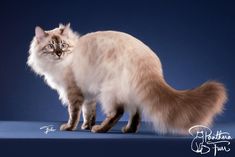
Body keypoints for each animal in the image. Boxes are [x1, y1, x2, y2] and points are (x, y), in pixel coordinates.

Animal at [27, 23, 228, 134]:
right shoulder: (88, 95)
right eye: (51, 47)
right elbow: (88, 112)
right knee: (136, 113)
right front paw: (86, 125)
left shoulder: (74, 92)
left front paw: (71, 127)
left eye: (63, 46)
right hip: (129, 91)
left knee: (118, 112)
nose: (59, 54)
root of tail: (146, 56)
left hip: (110, 91)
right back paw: (128, 130)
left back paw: (100, 129)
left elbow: (74, 113)